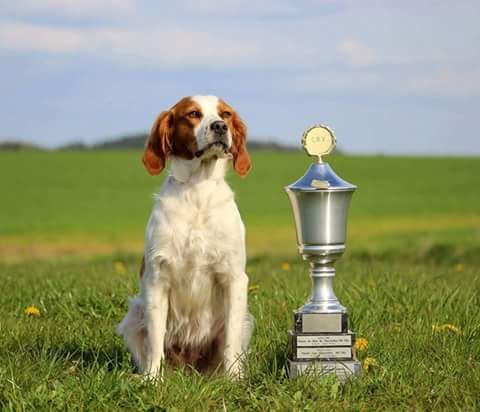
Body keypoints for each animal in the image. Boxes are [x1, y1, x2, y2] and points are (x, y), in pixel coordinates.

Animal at [116, 95, 255, 378]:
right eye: (193, 114)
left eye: (226, 114)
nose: (220, 126)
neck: (198, 189)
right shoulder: (157, 279)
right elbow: (155, 340)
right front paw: (152, 380)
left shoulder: (234, 278)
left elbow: (231, 341)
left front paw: (234, 380)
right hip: (134, 314)